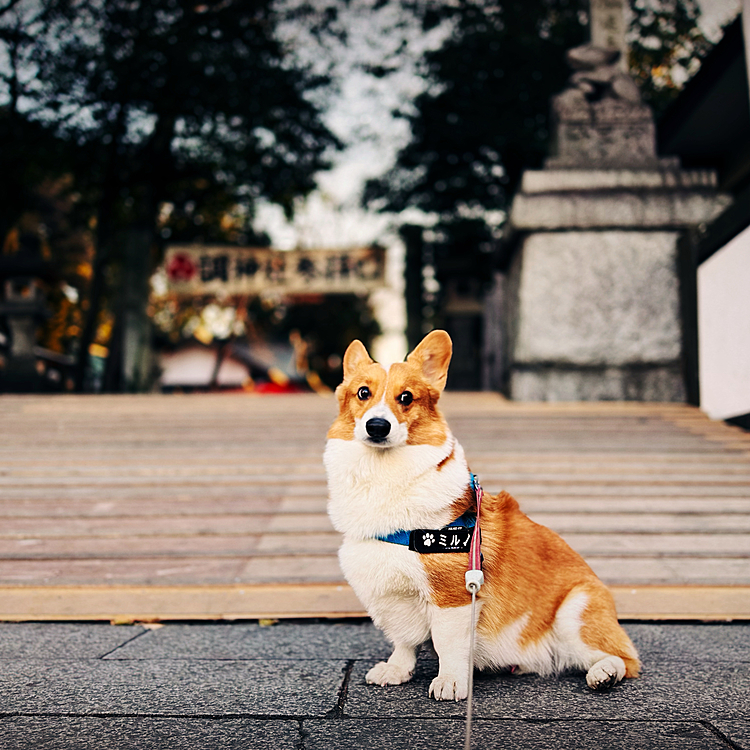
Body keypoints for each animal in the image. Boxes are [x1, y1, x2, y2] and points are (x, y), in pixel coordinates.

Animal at [324, 332, 640, 704]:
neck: (384, 473)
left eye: (406, 397)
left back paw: (605, 673)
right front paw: (396, 670)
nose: (377, 426)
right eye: (363, 393)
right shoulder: (391, 592)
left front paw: (450, 682)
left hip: (574, 610)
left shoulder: (454, 596)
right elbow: (403, 641)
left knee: (624, 657)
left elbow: (447, 644)